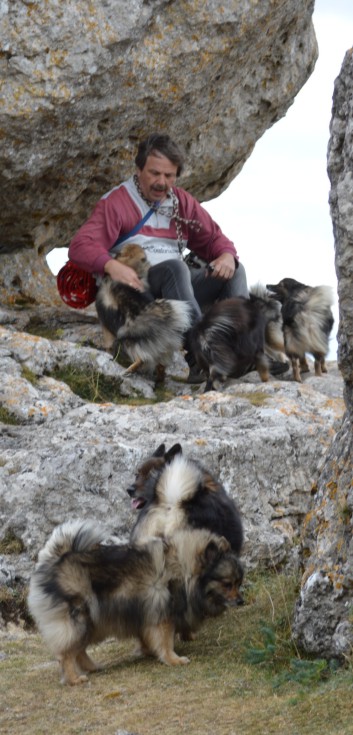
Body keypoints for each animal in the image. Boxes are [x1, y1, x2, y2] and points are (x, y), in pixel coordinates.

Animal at [28, 516, 242, 684]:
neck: (182, 570)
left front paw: (148, 651)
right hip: (78, 620)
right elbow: (165, 641)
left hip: (91, 623)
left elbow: (148, 638)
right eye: (227, 584)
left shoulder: (146, 615)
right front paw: (174, 659)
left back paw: (93, 667)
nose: (241, 601)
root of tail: (54, 559)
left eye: (238, 583)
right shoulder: (162, 615)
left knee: (79, 650)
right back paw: (74, 678)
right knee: (66, 654)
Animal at [95, 243, 191, 380]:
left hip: (129, 340)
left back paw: (129, 370)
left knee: (141, 358)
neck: (129, 266)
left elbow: (107, 343)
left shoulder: (105, 325)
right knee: (160, 365)